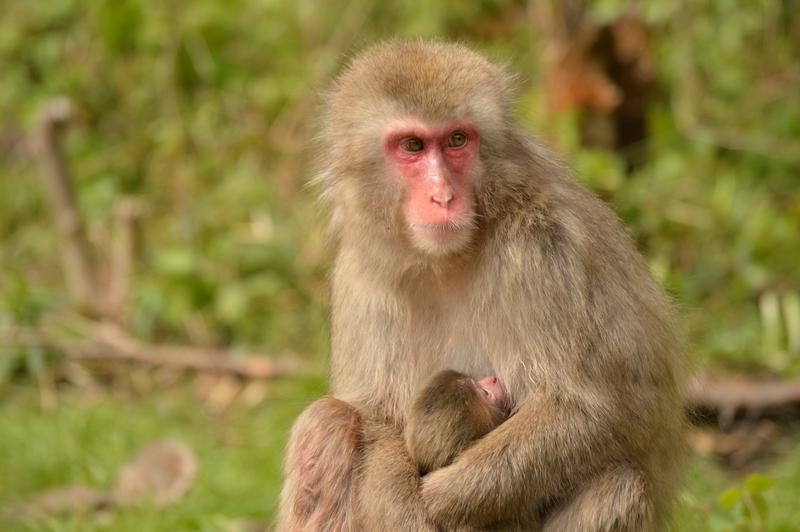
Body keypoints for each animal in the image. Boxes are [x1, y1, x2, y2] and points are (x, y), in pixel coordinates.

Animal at [278, 40, 684, 532]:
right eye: (412, 146)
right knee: (329, 420)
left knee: (618, 484)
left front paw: (434, 502)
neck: (446, 261)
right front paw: (404, 504)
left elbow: (596, 410)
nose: (443, 197)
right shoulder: (359, 275)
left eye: (457, 140)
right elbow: (372, 415)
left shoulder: (544, 249)